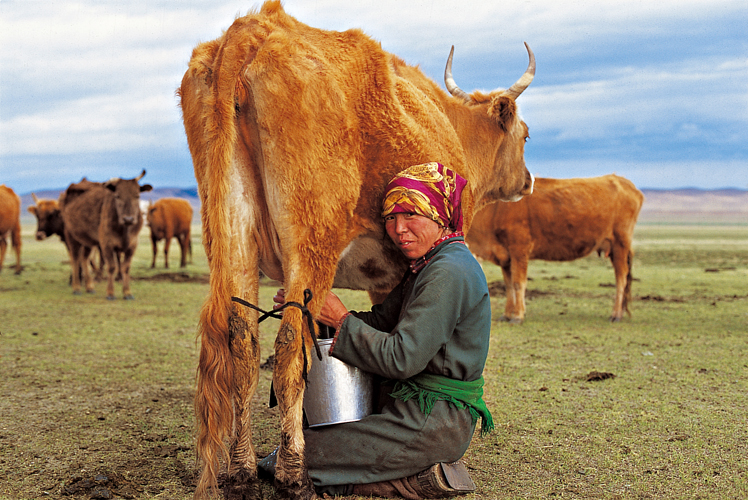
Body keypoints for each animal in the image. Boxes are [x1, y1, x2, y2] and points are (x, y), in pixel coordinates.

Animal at [59, 170, 152, 298]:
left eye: (137, 196)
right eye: (117, 196)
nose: (128, 219)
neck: (124, 230)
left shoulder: (132, 246)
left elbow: (126, 268)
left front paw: (127, 293)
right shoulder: (107, 245)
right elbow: (112, 267)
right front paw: (110, 293)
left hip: (87, 241)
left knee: (84, 259)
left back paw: (90, 287)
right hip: (71, 237)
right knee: (75, 259)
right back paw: (77, 288)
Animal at [179, 1, 536, 498]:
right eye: (525, 134)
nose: (529, 181)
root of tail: (257, 27)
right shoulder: (394, 275)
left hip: (233, 242)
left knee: (243, 346)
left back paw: (243, 469)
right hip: (312, 242)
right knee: (289, 348)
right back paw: (294, 473)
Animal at [468, 175, 644, 324]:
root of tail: (622, 181)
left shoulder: (519, 249)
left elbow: (518, 283)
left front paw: (517, 315)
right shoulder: (505, 256)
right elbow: (509, 285)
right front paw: (507, 314)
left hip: (620, 244)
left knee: (621, 279)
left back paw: (616, 314)